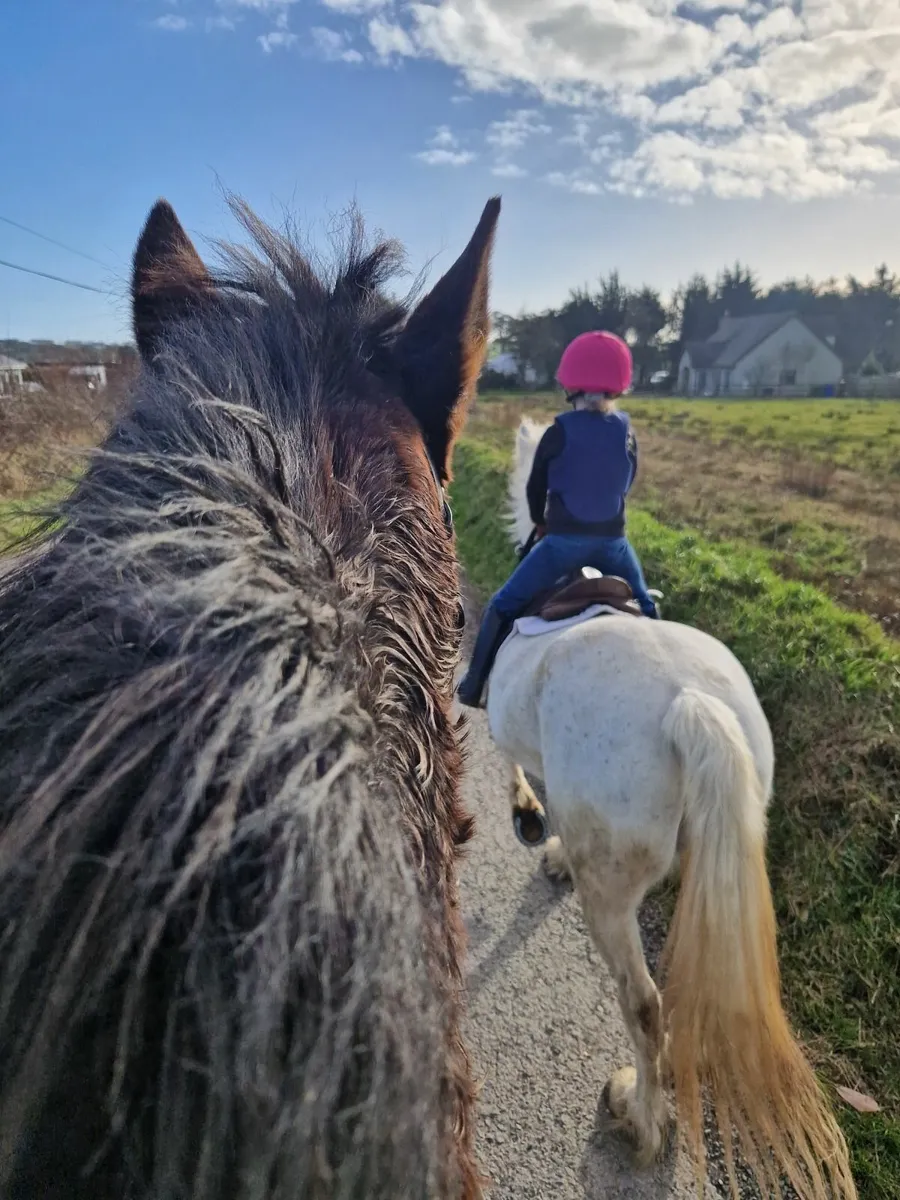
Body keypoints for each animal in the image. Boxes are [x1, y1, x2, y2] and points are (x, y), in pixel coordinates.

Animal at [480, 414, 857, 1200]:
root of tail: (690, 700)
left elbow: (513, 766)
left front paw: (534, 825)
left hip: (611, 891)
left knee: (644, 1003)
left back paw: (642, 1116)